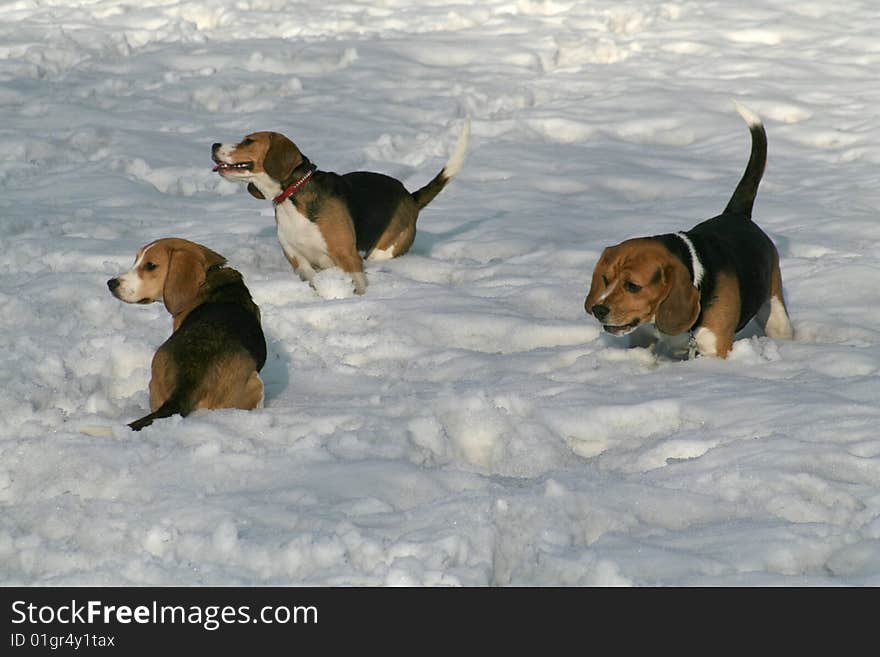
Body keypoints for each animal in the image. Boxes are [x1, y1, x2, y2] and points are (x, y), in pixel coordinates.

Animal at [212, 119, 470, 294]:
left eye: (248, 141)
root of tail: (410, 197)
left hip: (384, 251)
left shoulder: (348, 256)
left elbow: (359, 284)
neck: (292, 197)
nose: (214, 144)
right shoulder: (299, 260)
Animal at [588, 104, 796, 358]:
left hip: (776, 315)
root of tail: (736, 214)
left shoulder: (715, 348)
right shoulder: (641, 338)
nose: (598, 309)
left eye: (632, 286)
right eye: (605, 279)